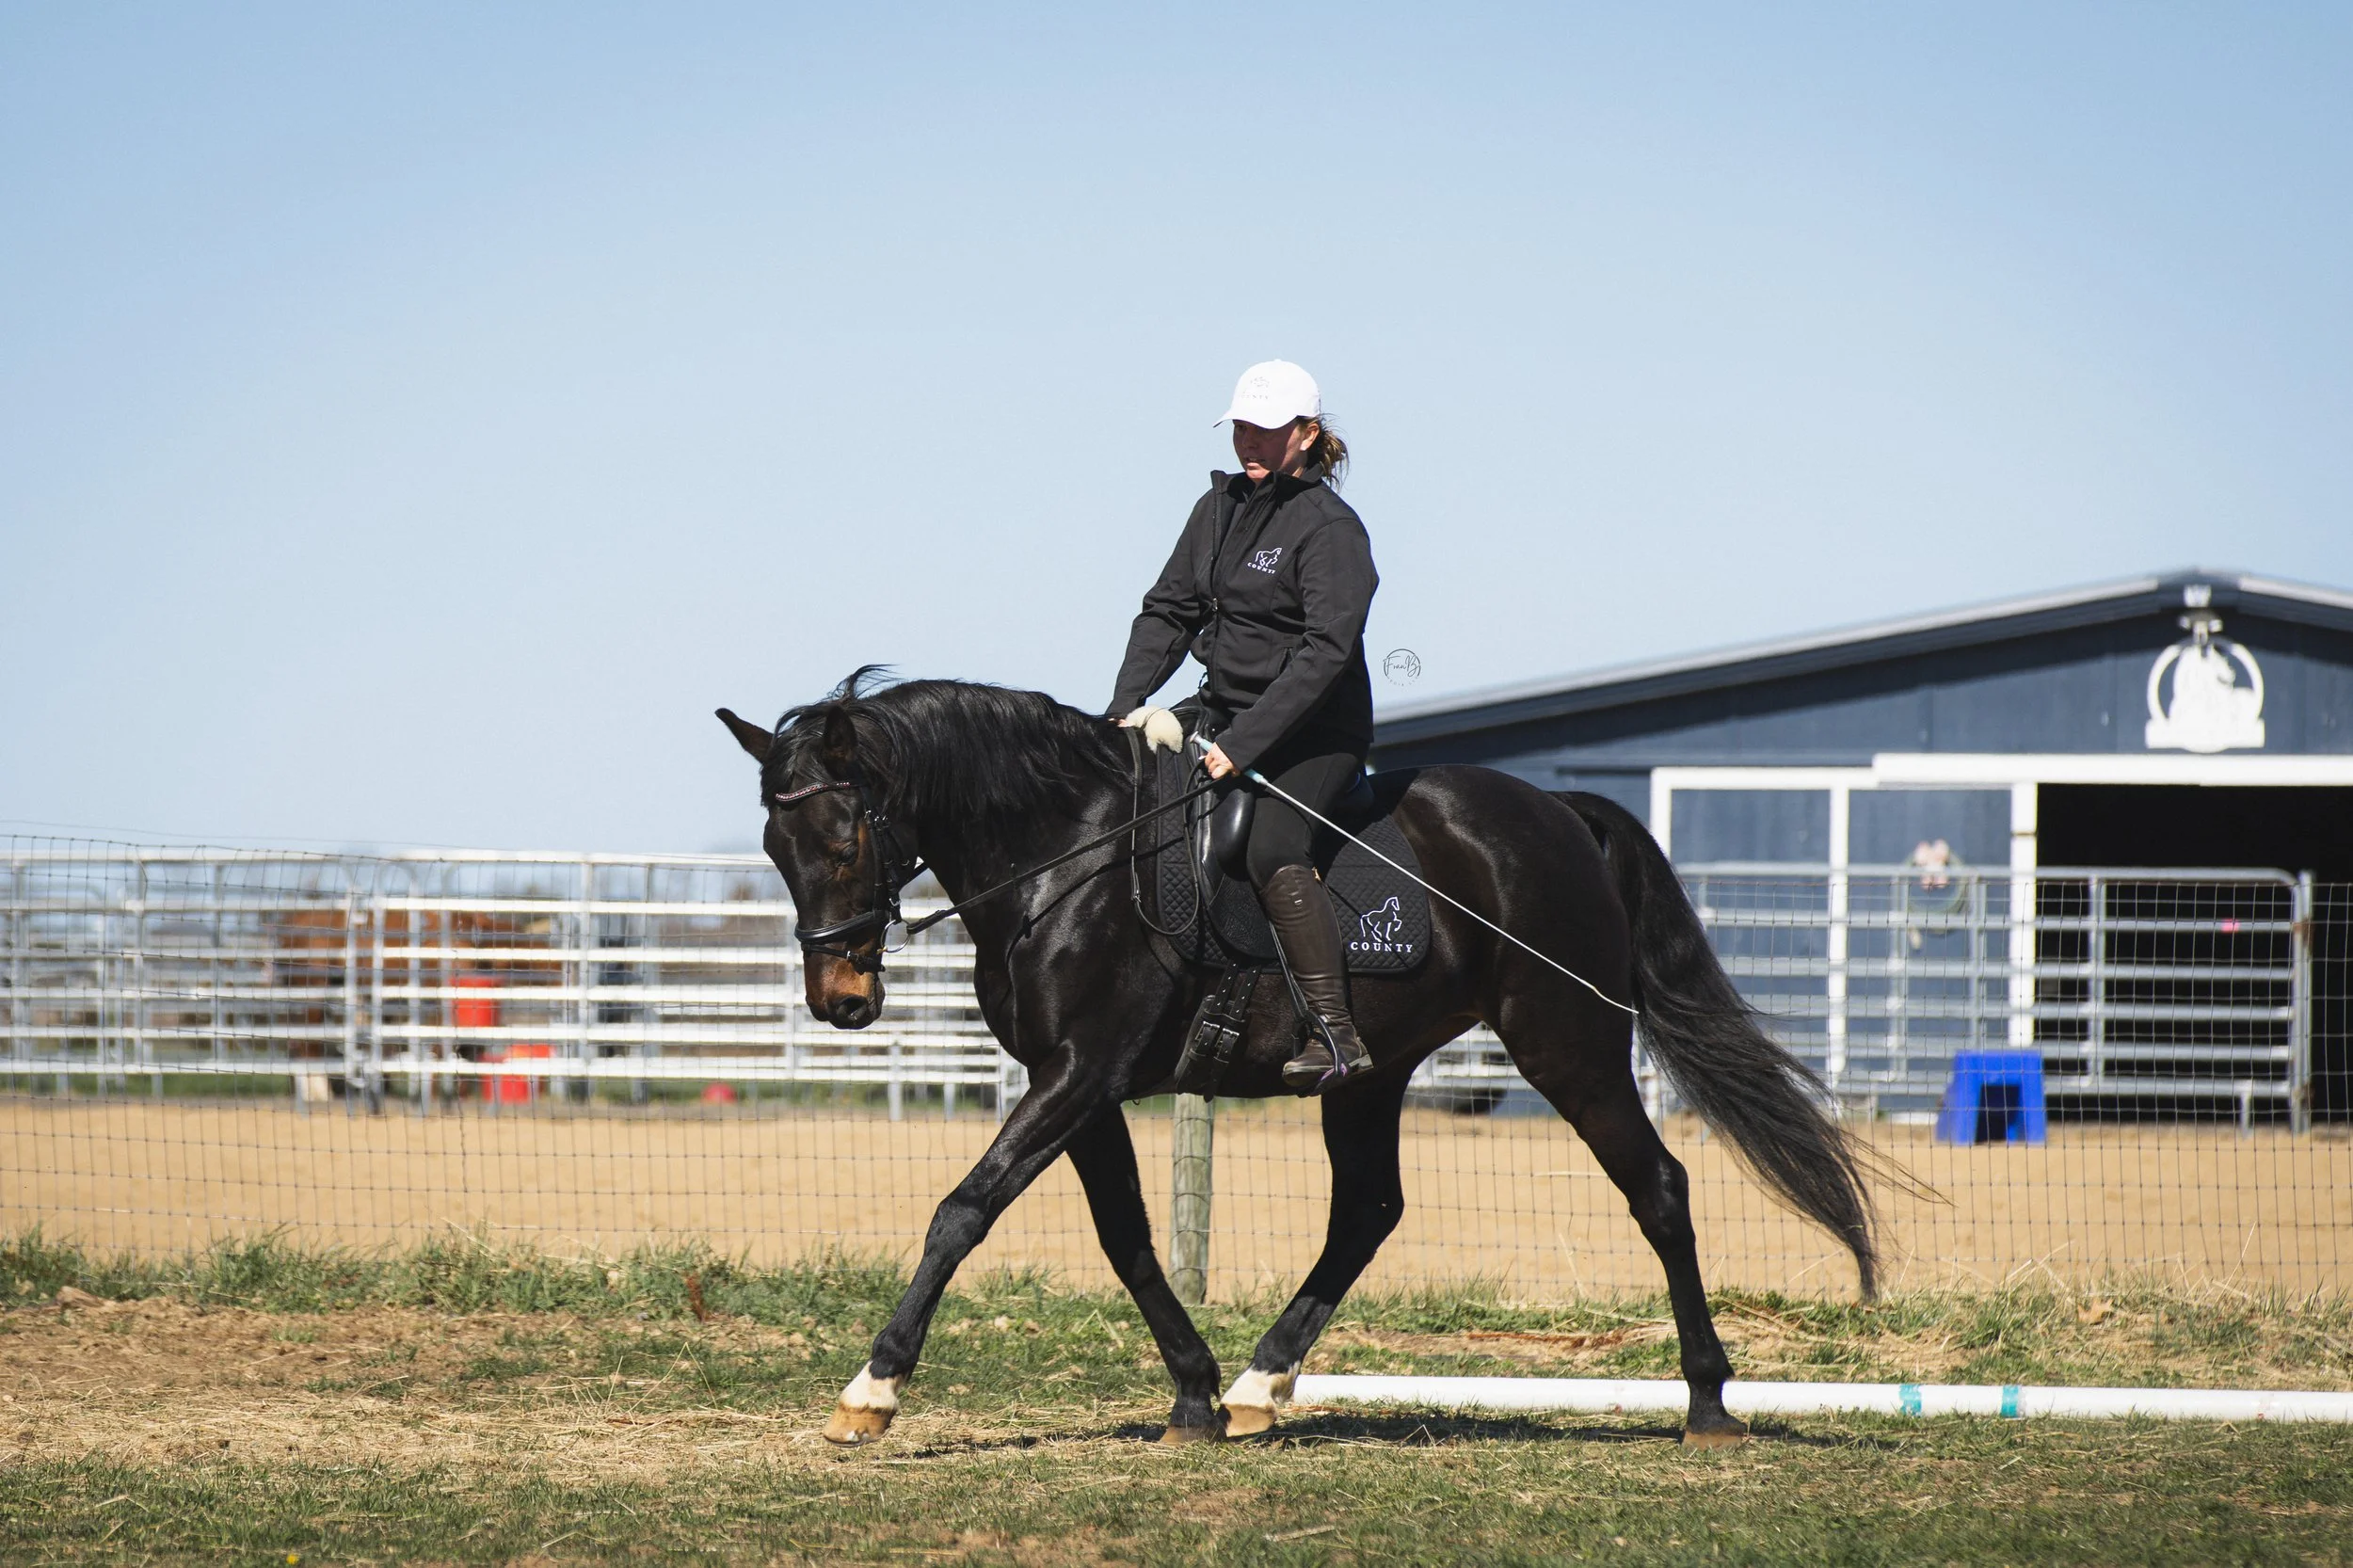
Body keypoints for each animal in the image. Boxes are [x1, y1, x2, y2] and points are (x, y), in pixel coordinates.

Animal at [716, 671, 1879, 1448]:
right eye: (775, 847)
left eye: (841, 840)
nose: (841, 1002)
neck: (1065, 861)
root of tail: (1557, 810)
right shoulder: (1085, 1088)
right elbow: (1127, 1239)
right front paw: (1191, 1391)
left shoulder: (1078, 1073)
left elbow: (963, 1210)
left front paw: (872, 1391)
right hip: (1370, 1072)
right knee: (1367, 1211)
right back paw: (1255, 1387)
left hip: (1568, 1046)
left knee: (1660, 1188)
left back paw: (1709, 1402)